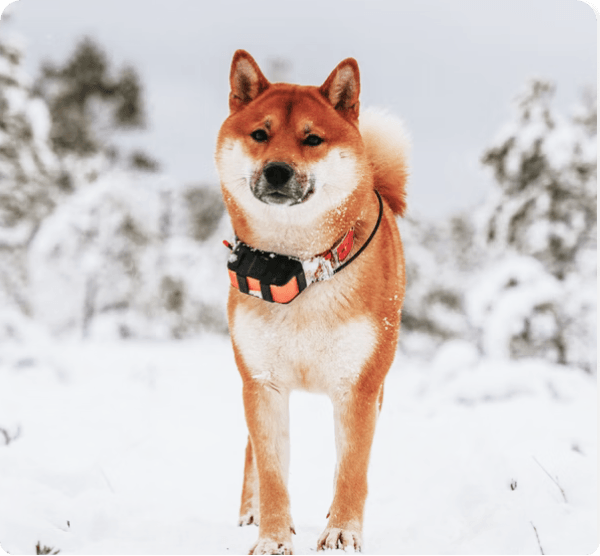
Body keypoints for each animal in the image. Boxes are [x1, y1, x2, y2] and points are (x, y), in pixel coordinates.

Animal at [214, 50, 408, 552]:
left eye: (312, 139)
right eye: (260, 134)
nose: (277, 170)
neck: (300, 270)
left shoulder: (358, 388)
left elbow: (352, 470)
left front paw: (341, 531)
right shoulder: (262, 384)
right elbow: (271, 472)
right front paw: (272, 537)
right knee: (252, 452)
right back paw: (249, 513)